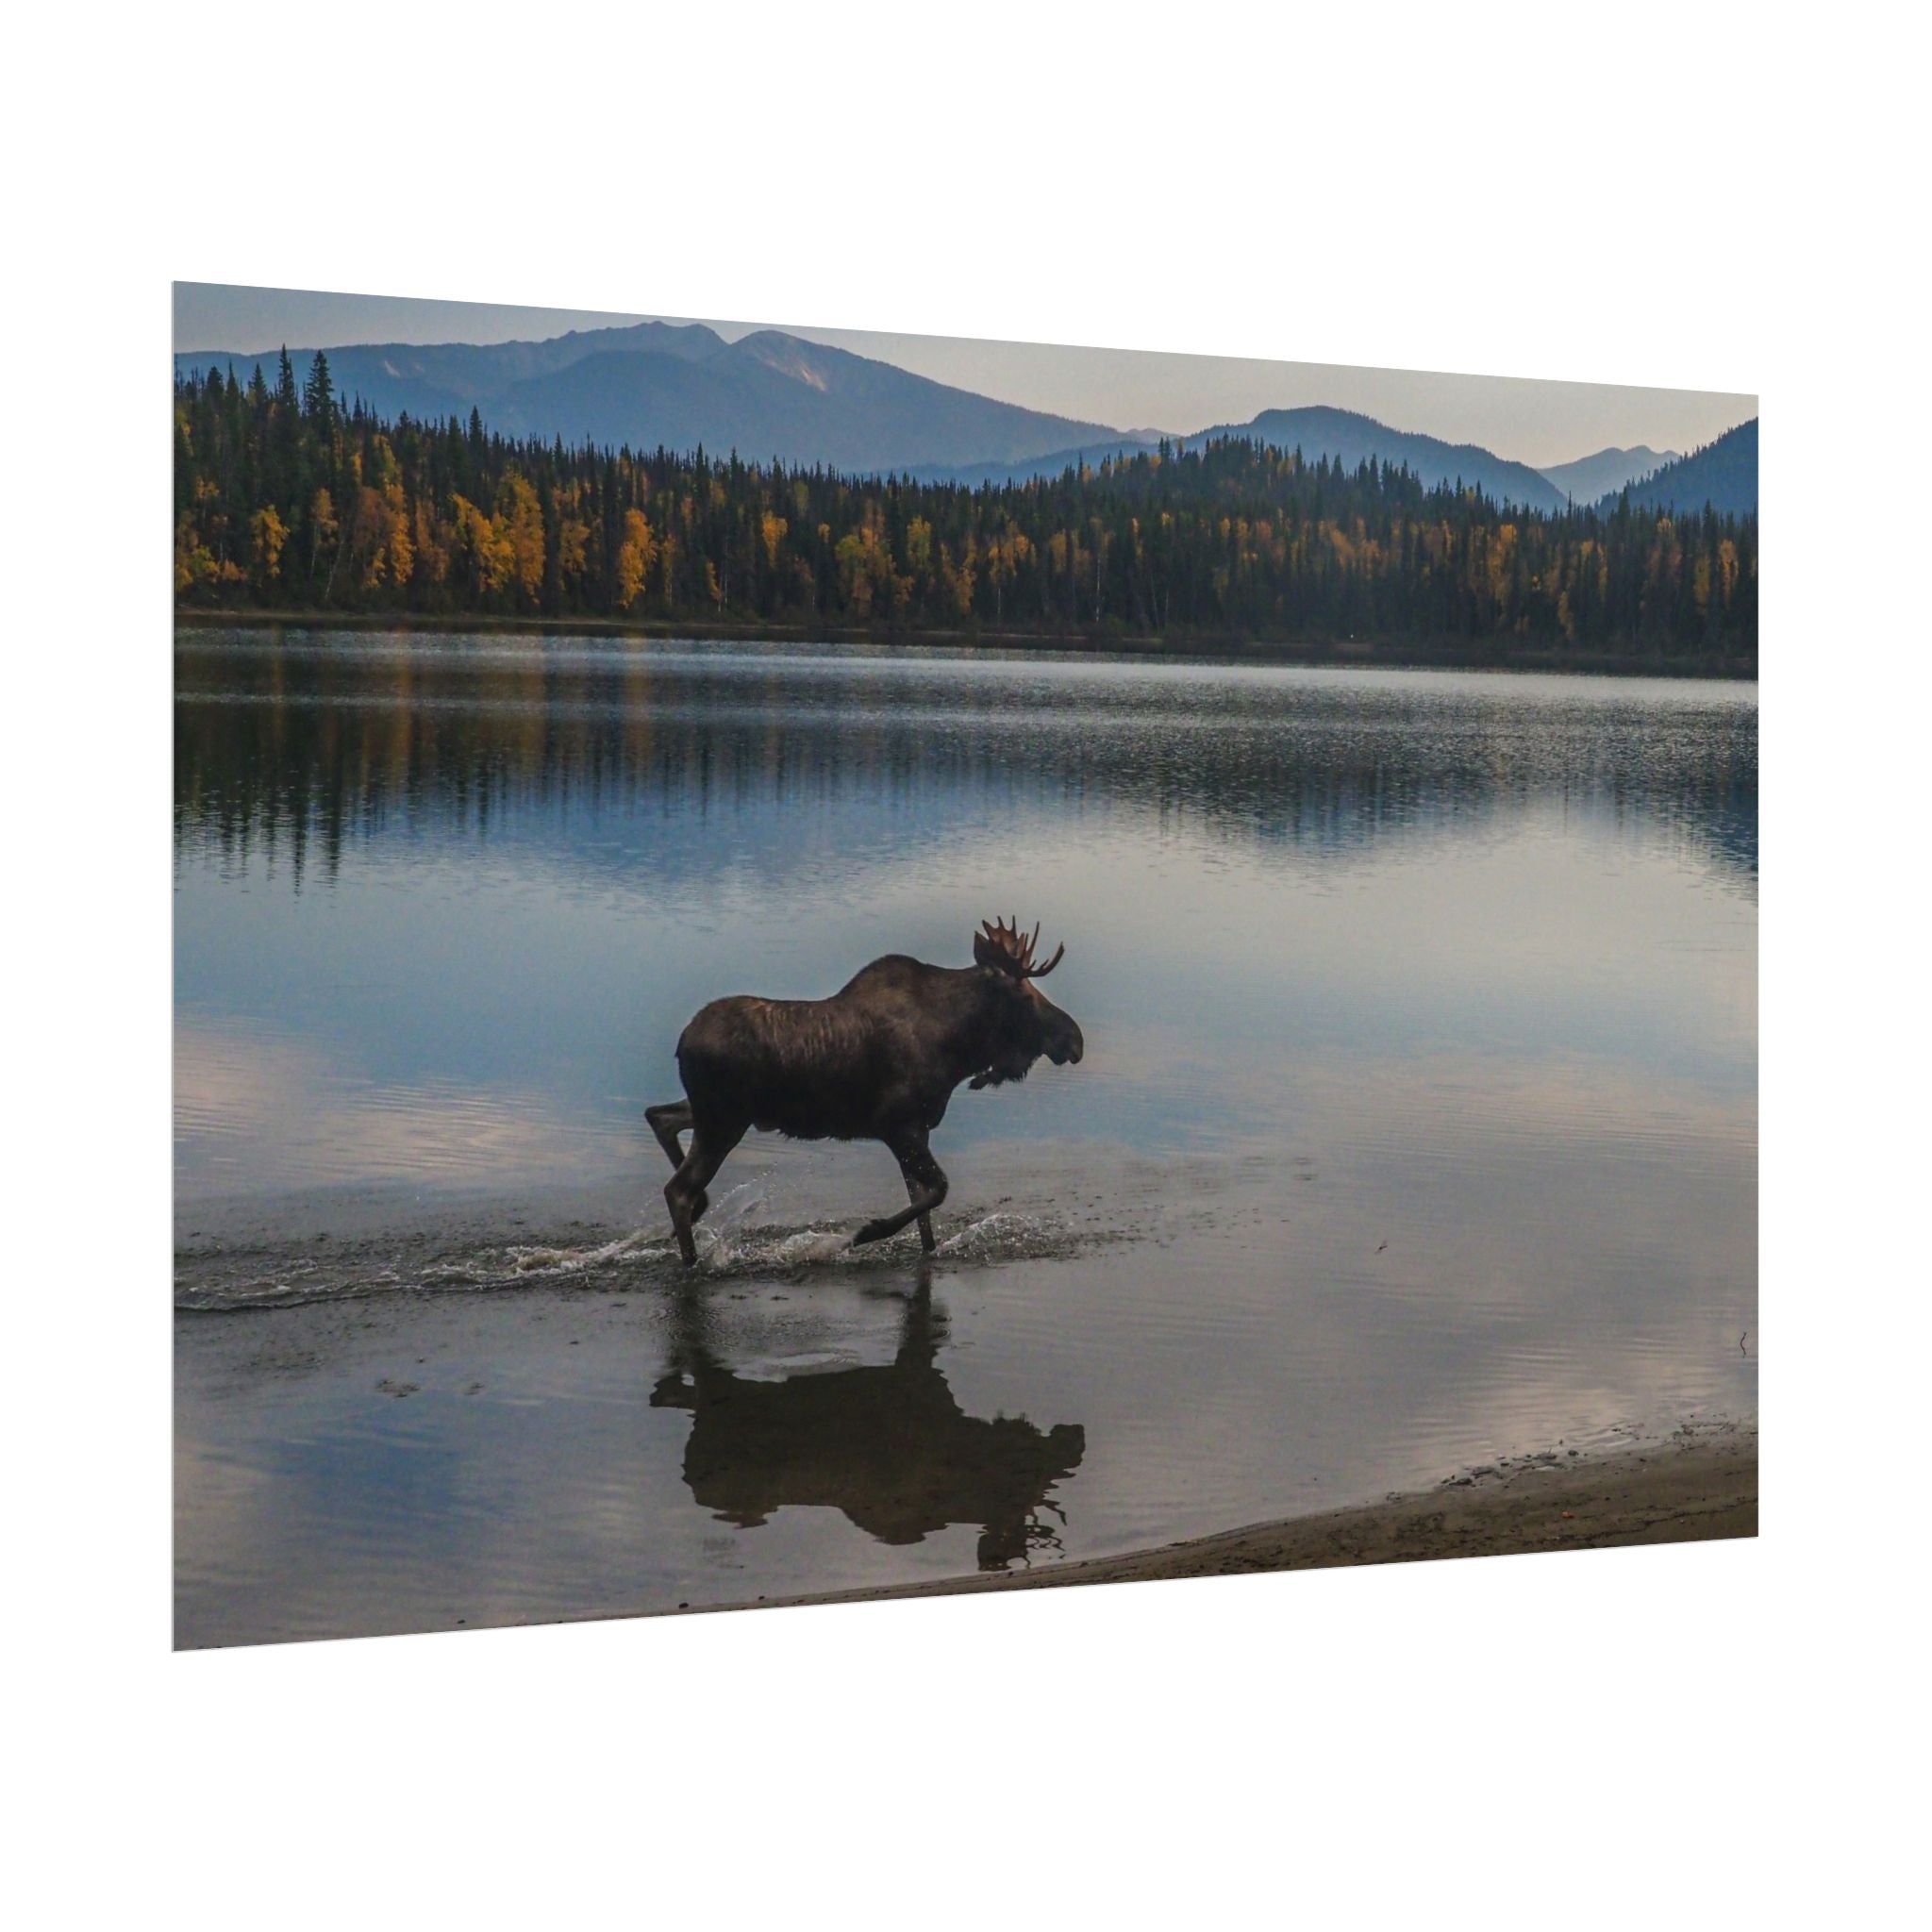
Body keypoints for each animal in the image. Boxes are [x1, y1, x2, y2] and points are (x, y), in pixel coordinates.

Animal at [646, 918, 1084, 1266]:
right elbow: (937, 1191)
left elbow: (924, 1212)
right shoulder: (897, 1125)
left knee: (660, 1117)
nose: (1075, 1040)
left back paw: (699, 1212)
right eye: (1024, 994)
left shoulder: (918, 1131)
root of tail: (682, 1043)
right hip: (723, 1121)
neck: (957, 1049)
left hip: (717, 1114)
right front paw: (863, 1233)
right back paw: (692, 1259)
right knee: (677, 1189)